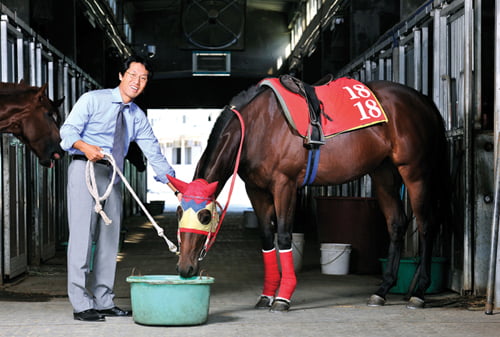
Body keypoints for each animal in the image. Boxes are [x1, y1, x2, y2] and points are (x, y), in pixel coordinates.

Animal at [170, 77, 452, 312]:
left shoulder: (284, 185)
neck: (258, 125)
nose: (185, 268)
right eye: (179, 213)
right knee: (396, 224)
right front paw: (266, 295)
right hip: (383, 173)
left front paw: (283, 297)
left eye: (205, 217)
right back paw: (382, 290)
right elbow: (267, 238)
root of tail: (423, 100)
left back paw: (419, 293)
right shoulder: (257, 190)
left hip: (414, 172)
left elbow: (284, 237)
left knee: (426, 225)